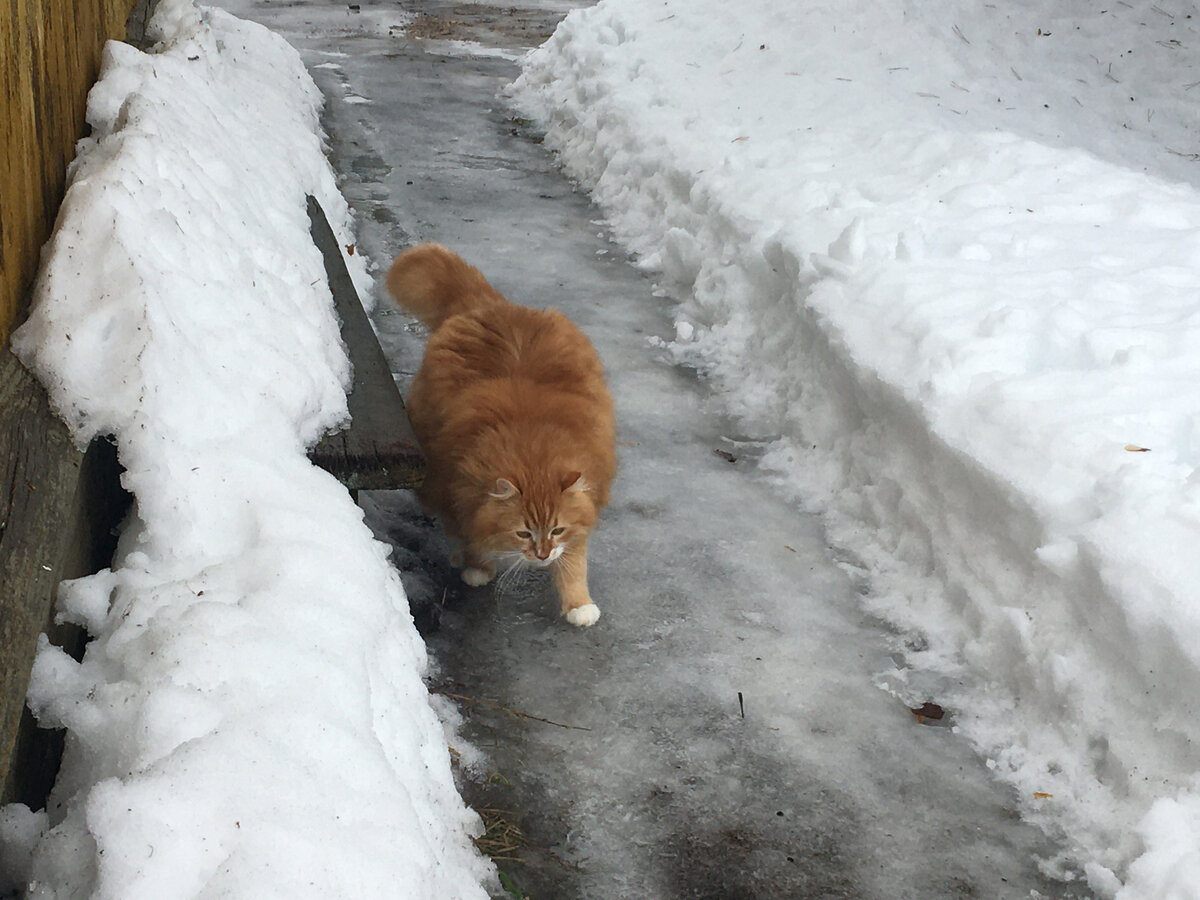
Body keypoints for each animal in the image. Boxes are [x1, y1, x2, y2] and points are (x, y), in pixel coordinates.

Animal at [391, 243, 619, 628]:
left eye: (556, 530)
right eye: (523, 533)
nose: (542, 556)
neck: (532, 448)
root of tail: (489, 303)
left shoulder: (579, 516)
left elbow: (573, 564)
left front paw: (578, 604)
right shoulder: (455, 489)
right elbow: (469, 533)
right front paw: (477, 568)